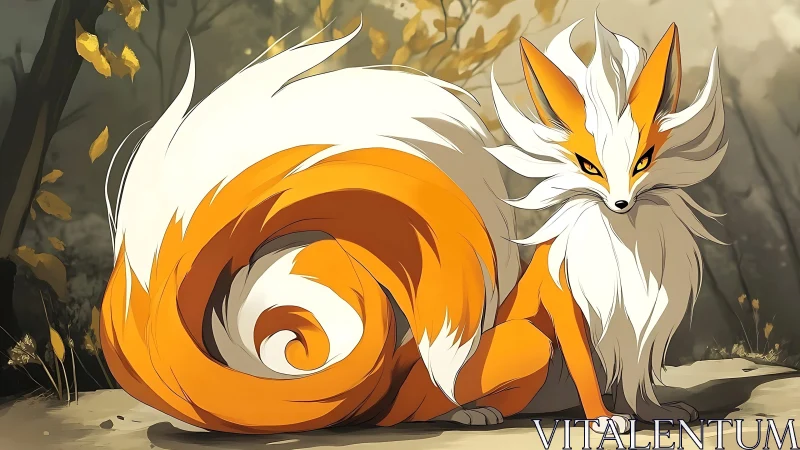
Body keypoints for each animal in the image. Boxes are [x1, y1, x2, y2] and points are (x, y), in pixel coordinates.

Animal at [98, 21, 634, 434]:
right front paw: (604, 418)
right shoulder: (561, 292)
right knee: (421, 405)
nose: (620, 198)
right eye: (584, 160)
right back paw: (463, 413)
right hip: (484, 363)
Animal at [488, 17, 726, 422]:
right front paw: (603, 418)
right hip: (526, 342)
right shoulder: (565, 298)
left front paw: (651, 414)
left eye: (643, 161)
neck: (631, 246)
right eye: (588, 166)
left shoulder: (643, 318)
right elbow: (584, 363)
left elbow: (636, 374)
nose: (620, 203)